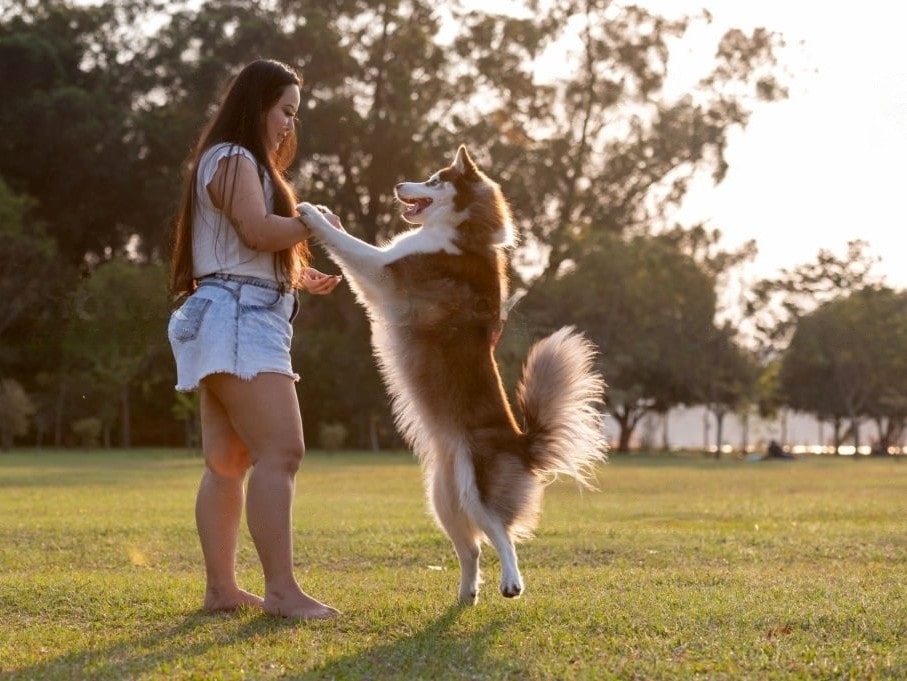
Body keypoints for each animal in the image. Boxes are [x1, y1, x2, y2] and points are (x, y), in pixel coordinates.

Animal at [302, 146, 608, 604]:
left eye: (434, 180)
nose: (398, 184)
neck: (463, 232)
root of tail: (521, 442)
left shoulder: (382, 270)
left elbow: (351, 245)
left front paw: (311, 215)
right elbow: (347, 235)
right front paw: (326, 211)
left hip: (476, 487)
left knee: (502, 533)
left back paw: (511, 581)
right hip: (443, 498)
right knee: (473, 548)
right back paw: (466, 594)